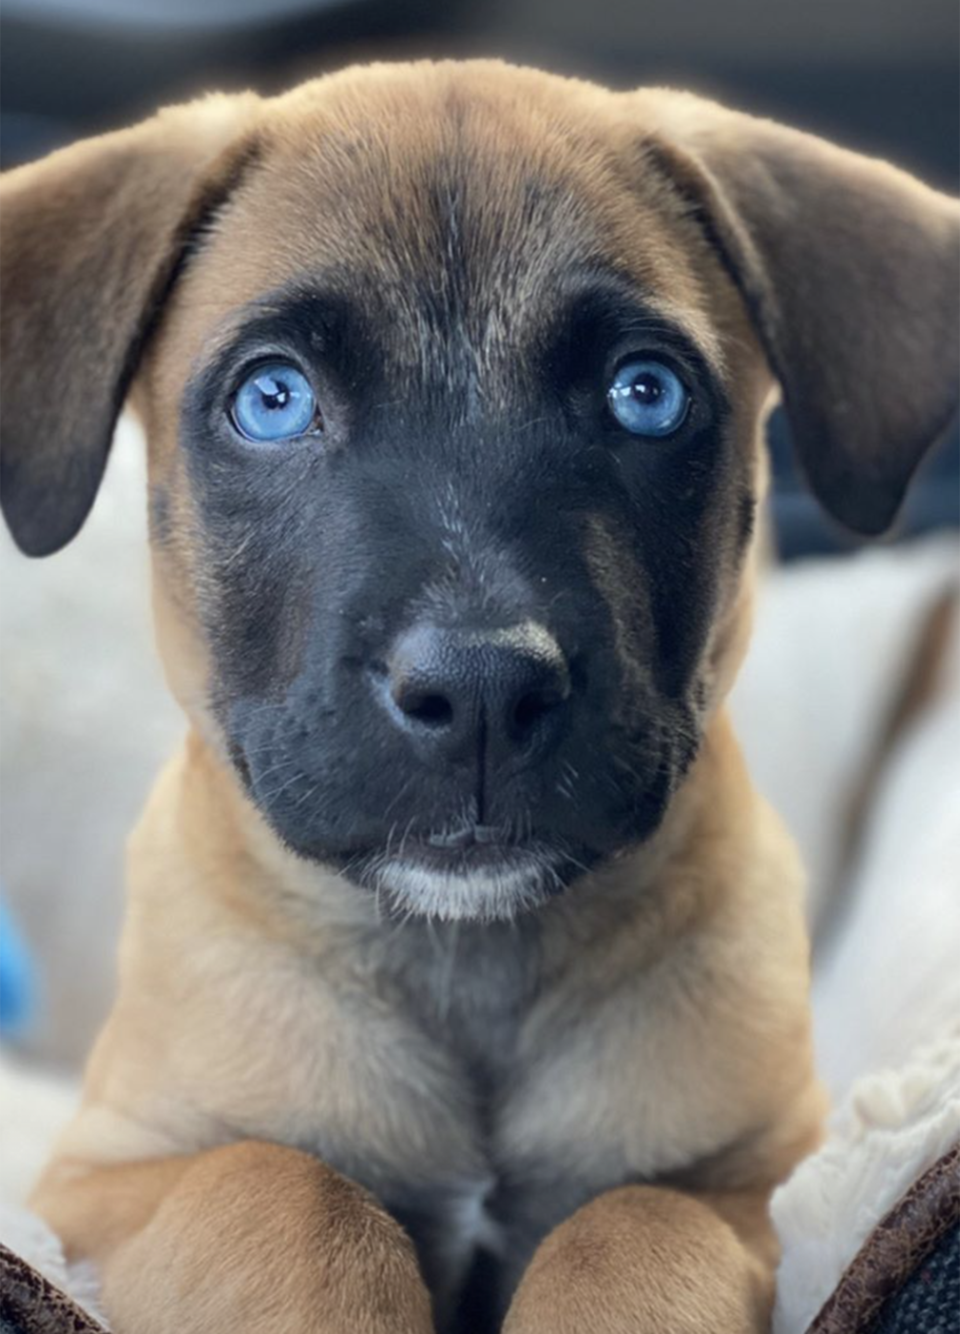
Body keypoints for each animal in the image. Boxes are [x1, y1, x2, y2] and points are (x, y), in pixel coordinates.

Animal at [1, 60, 960, 1334]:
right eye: (273, 398)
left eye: (646, 393)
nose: (481, 692)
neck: (470, 966)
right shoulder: (107, 1173)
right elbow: (281, 1186)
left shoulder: (764, 1182)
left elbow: (634, 1220)